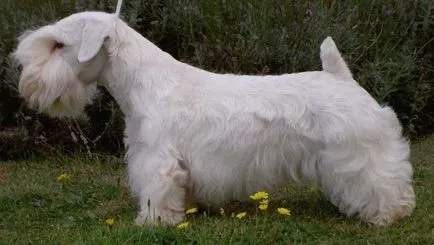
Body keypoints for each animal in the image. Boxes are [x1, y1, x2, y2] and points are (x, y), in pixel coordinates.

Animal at [11, 10, 416, 228]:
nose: (24, 76)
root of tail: (341, 77)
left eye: (58, 45)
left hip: (358, 153)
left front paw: (153, 222)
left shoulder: (156, 160)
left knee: (383, 183)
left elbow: (155, 192)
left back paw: (389, 214)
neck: (144, 82)